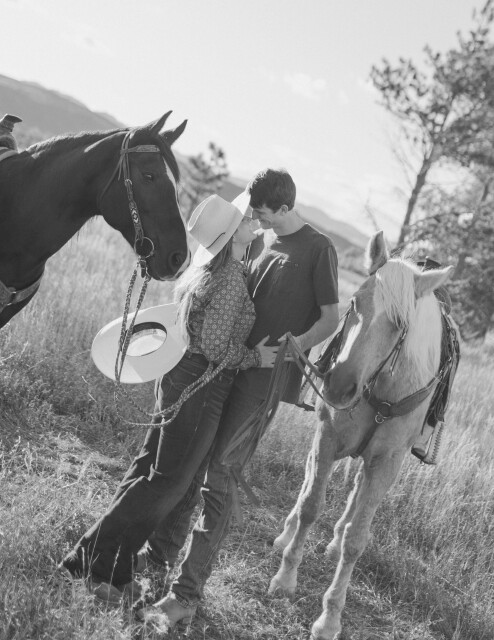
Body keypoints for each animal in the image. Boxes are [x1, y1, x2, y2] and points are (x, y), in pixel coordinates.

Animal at [268, 231, 459, 640]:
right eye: (354, 301)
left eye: (400, 324)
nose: (339, 385)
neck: (384, 385)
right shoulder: (327, 436)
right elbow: (311, 505)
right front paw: (286, 578)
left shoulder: (386, 463)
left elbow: (358, 539)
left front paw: (329, 618)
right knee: (309, 480)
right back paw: (287, 533)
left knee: (356, 493)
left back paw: (335, 540)